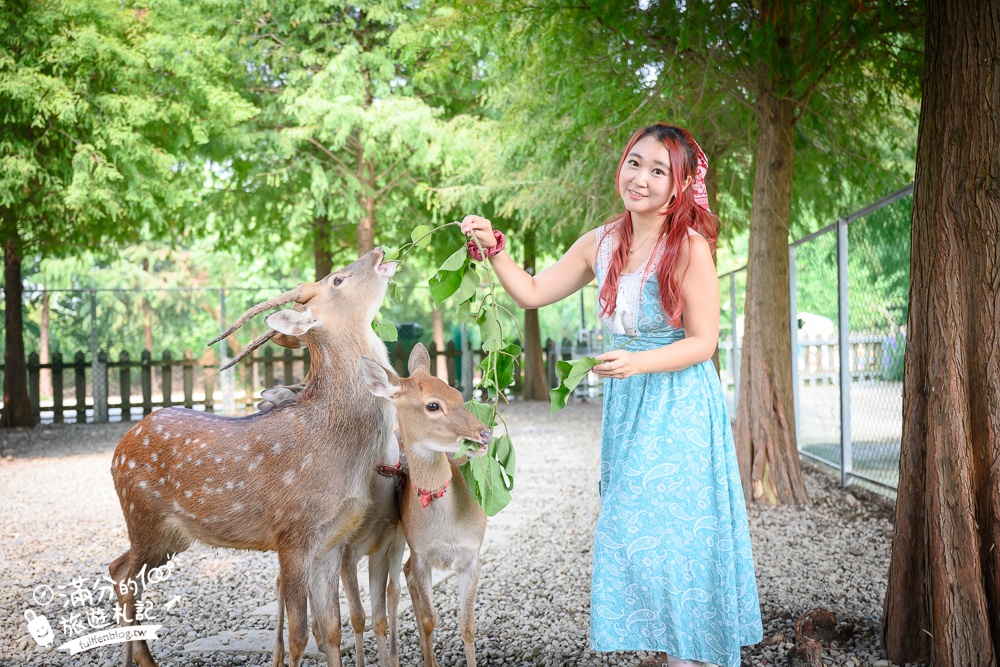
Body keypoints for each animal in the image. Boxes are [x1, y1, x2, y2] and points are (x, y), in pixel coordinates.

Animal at [112, 248, 398, 664]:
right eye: (337, 279)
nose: (377, 251)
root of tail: (118, 449)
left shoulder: (331, 542)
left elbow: (332, 628)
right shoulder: (292, 534)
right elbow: (298, 634)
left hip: (171, 538)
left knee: (117, 569)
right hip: (142, 518)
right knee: (127, 580)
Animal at [364, 348, 496, 667]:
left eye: (458, 394)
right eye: (433, 405)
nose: (484, 434)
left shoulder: (472, 554)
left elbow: (468, 625)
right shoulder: (422, 554)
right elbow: (428, 618)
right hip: (400, 536)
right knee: (403, 580)